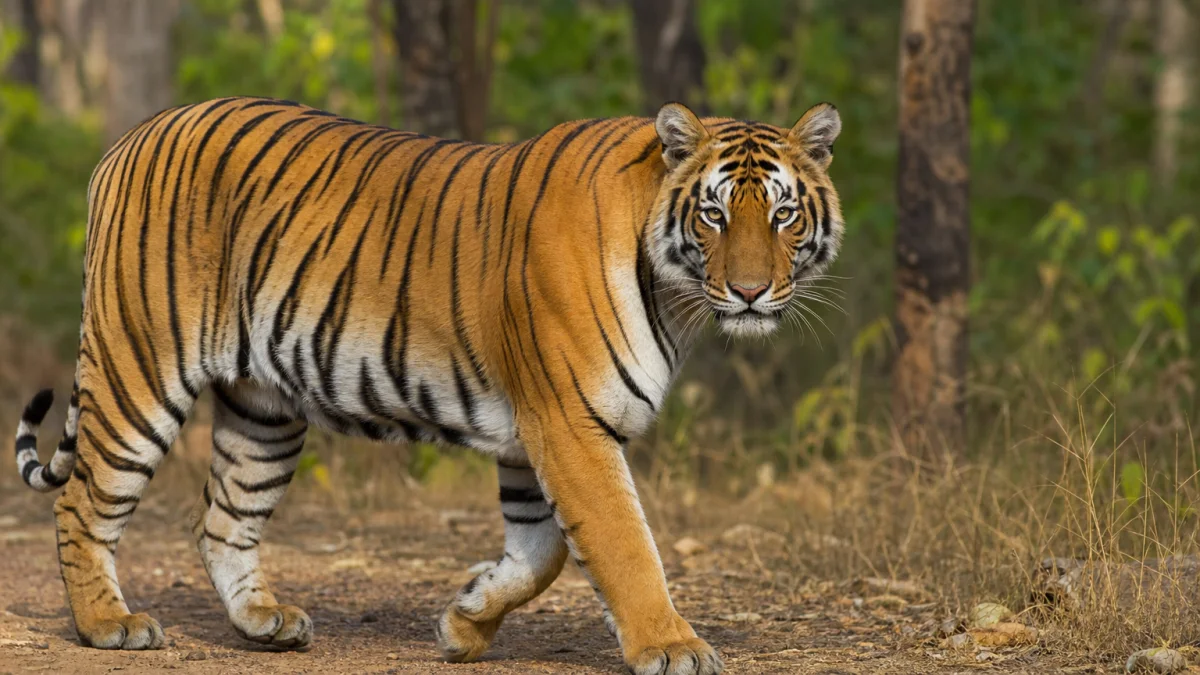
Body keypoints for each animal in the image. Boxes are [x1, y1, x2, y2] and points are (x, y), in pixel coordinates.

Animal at [12, 96, 842, 675]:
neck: (675, 294)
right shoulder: (568, 421)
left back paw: (264, 622)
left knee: (223, 518)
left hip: (262, 409)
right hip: (138, 366)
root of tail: (129, 140)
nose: (749, 292)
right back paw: (108, 625)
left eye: (782, 213)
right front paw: (671, 645)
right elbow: (623, 543)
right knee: (81, 503)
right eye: (713, 214)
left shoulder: (534, 434)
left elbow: (541, 550)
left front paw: (466, 619)